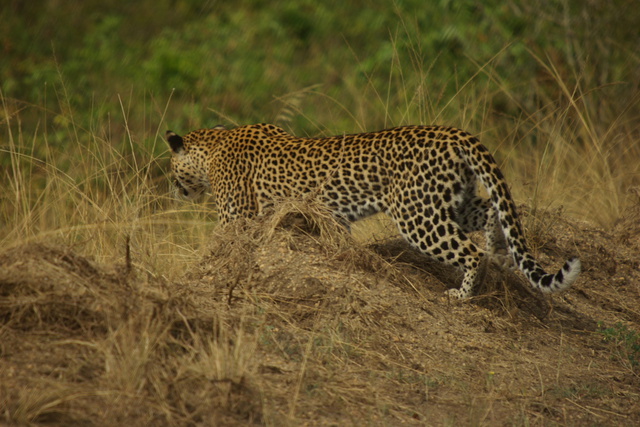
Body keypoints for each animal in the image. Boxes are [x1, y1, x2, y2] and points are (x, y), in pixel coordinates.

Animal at [164, 122, 580, 300]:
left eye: (170, 166)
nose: (173, 187)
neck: (212, 146)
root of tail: (455, 132)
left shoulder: (236, 216)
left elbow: (218, 247)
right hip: (450, 202)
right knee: (495, 210)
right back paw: (501, 252)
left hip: (417, 214)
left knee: (470, 251)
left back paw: (461, 294)